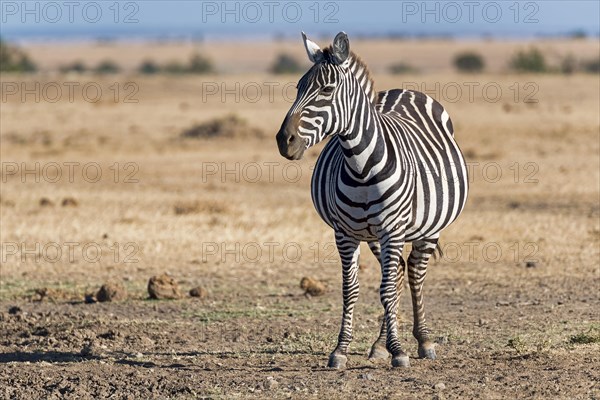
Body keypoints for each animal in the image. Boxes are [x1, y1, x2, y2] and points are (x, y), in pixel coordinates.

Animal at [276, 32, 468, 368]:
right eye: (298, 87)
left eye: (326, 90)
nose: (284, 141)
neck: (361, 166)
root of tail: (403, 91)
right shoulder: (344, 233)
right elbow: (351, 288)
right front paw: (342, 349)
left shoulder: (392, 230)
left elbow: (387, 289)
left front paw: (399, 351)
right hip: (375, 236)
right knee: (399, 272)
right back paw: (380, 345)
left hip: (428, 228)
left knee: (414, 272)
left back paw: (423, 341)